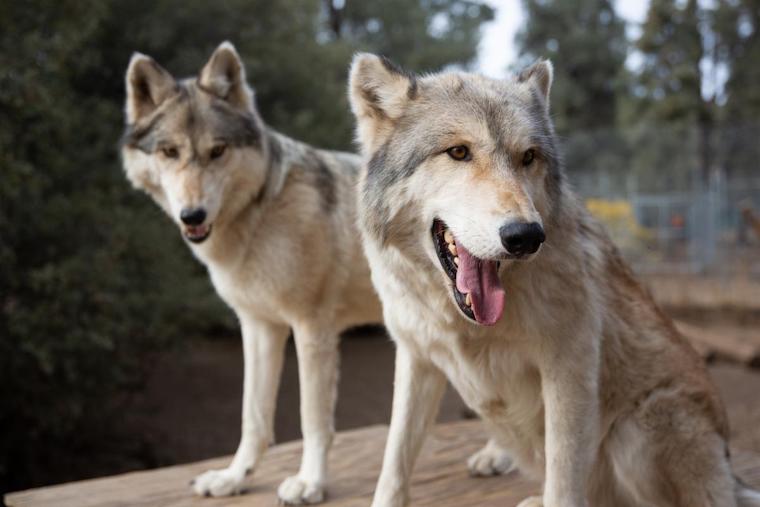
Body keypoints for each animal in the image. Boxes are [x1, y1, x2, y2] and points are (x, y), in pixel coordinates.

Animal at [120, 42, 382, 504]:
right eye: (169, 152)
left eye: (217, 151)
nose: (192, 215)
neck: (258, 219)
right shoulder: (259, 327)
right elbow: (253, 417)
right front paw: (233, 478)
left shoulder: (312, 329)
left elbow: (313, 419)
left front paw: (310, 483)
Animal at [348, 53, 760, 507]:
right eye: (458, 151)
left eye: (528, 157)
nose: (526, 236)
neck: (466, 325)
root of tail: (730, 475)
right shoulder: (415, 356)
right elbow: (395, 457)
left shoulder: (569, 367)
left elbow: (563, 478)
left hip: (641, 428)